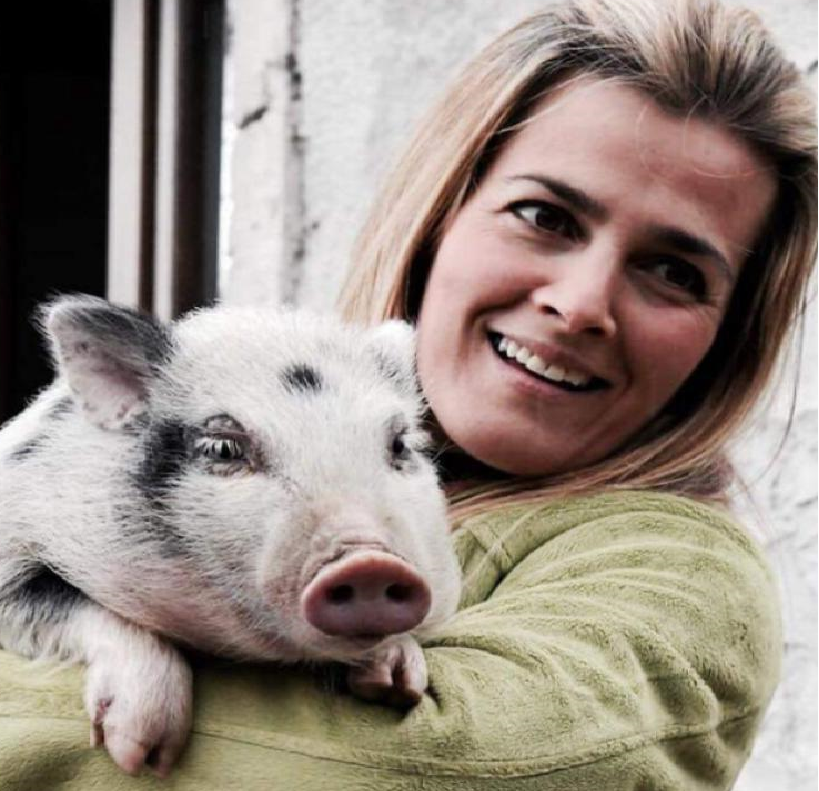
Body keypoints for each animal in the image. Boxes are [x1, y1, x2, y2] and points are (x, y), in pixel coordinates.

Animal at [0, 296, 462, 772]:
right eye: (223, 448)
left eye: (399, 445)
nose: (369, 562)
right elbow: (90, 609)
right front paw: (143, 757)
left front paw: (397, 684)